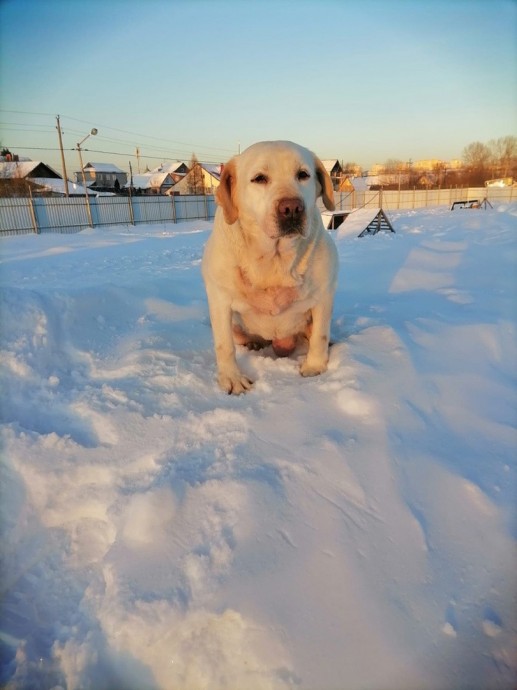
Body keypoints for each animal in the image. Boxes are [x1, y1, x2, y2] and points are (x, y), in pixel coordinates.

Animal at [202, 140, 338, 392]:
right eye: (259, 178)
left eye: (303, 174)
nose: (292, 208)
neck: (275, 258)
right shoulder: (219, 299)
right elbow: (224, 345)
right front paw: (232, 379)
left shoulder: (325, 295)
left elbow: (320, 336)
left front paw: (314, 366)